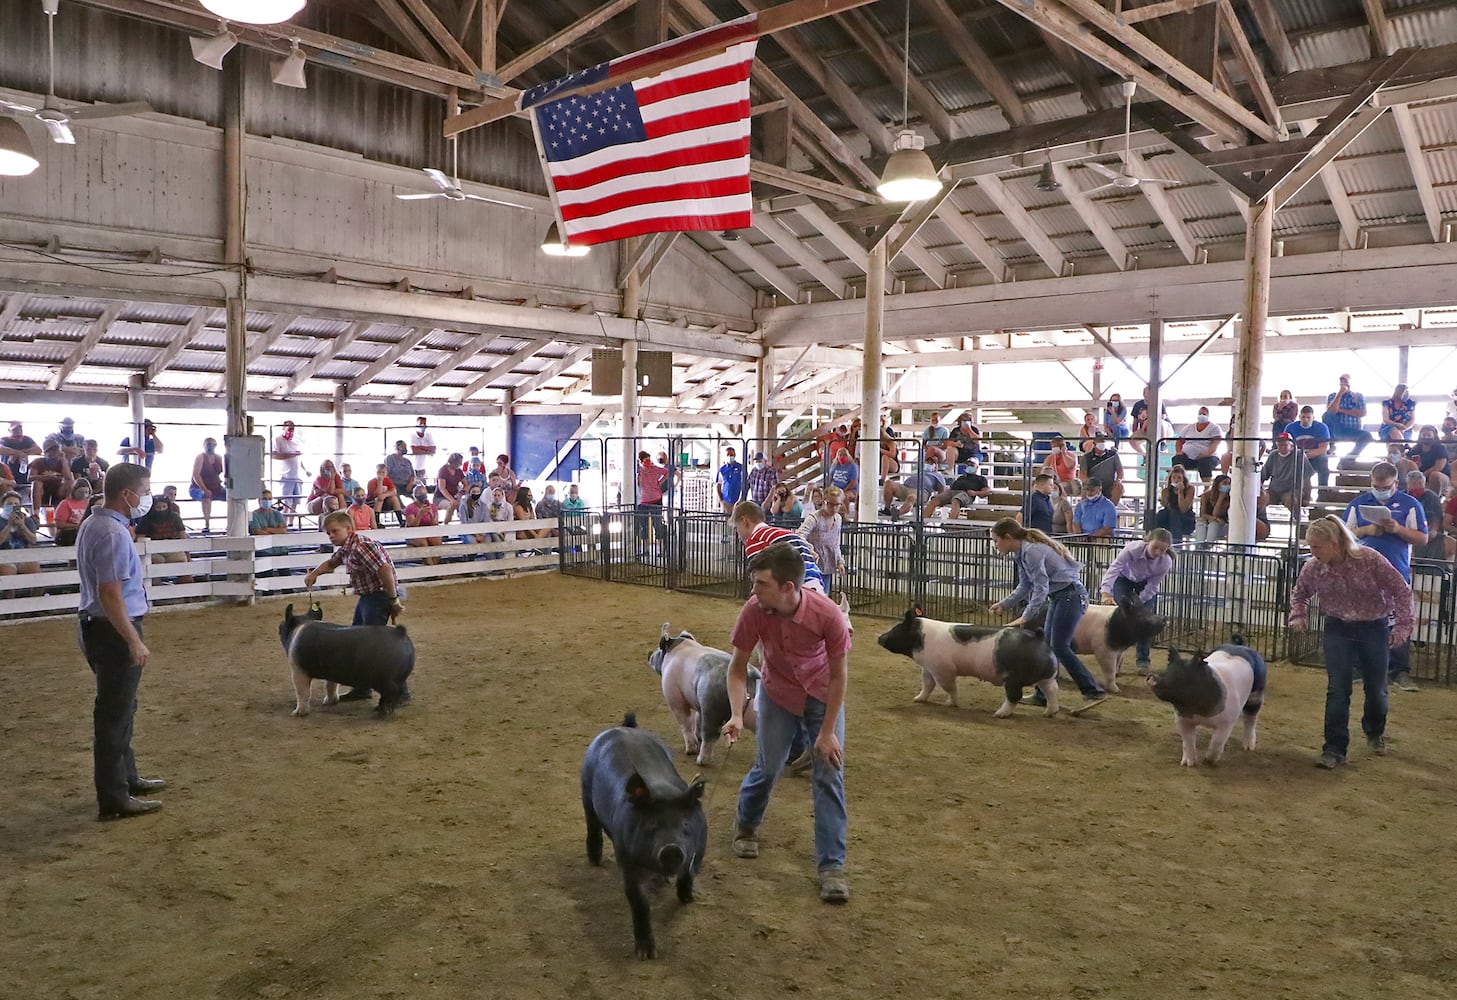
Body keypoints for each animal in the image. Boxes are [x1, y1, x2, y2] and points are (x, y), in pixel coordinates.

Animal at [278, 603, 416, 720]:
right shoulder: (332, 672)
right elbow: (331, 686)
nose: (279, 625)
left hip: (382, 679)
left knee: (392, 692)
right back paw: (379, 708)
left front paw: (296, 713)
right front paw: (329, 701)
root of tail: (399, 632)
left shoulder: (298, 671)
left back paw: (381, 713)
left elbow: (302, 692)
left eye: (282, 626)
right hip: (399, 677)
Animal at [582, 714, 713, 962]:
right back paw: (594, 860)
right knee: (592, 825)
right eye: (652, 824)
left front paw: (687, 899)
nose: (671, 848)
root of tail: (623, 727)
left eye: (685, 823)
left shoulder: (699, 851)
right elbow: (639, 902)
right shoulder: (627, 858)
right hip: (585, 789)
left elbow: (688, 875)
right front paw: (646, 955)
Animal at [649, 626, 763, 769]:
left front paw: (690, 750)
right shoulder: (700, 705)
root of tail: (749, 676)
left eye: (659, 650)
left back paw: (701, 760)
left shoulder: (674, 697)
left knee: (711, 736)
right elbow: (698, 718)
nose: (650, 655)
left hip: (713, 708)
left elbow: (685, 723)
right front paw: (698, 738)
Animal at [874, 606, 1060, 717]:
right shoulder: (928, 667)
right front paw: (917, 699)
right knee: (1052, 690)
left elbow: (949, 687)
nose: (879, 638)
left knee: (1014, 696)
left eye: (896, 629)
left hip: (1013, 677)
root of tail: (1038, 637)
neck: (922, 637)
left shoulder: (944, 669)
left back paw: (999, 714)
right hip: (1046, 676)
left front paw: (950, 703)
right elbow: (927, 685)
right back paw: (1049, 713)